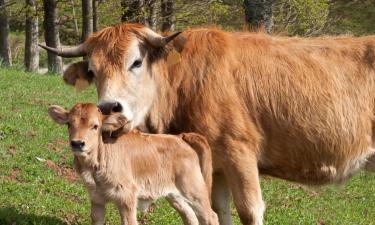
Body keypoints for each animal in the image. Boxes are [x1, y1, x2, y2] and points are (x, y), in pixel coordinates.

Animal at [47, 103, 219, 225]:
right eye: (69, 124)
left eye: (95, 126)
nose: (77, 143)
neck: (93, 168)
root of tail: (180, 137)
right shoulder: (96, 199)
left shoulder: (127, 198)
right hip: (175, 195)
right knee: (190, 216)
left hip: (194, 190)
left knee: (211, 216)